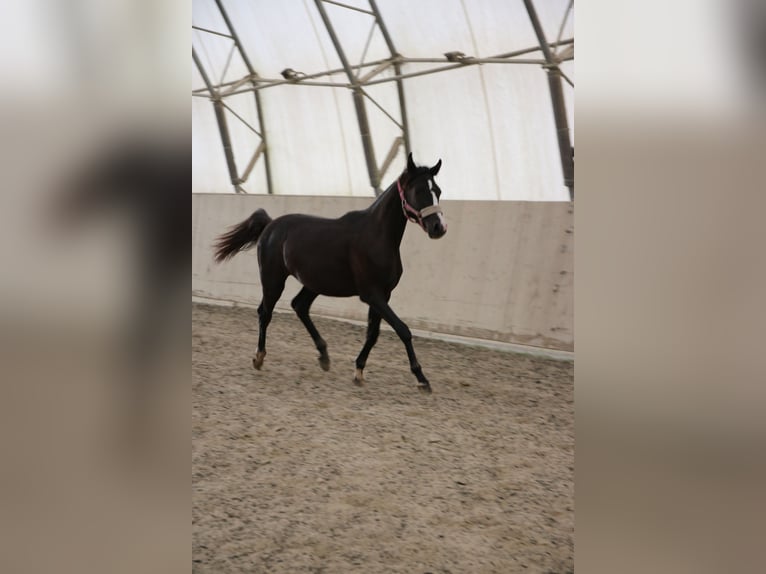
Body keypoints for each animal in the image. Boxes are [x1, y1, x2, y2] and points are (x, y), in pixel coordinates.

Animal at [213, 155, 448, 394]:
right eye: (418, 191)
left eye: (437, 190)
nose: (438, 227)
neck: (376, 236)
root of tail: (270, 225)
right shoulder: (372, 294)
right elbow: (403, 330)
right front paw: (421, 379)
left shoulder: (383, 295)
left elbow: (373, 334)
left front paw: (359, 371)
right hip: (273, 280)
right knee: (265, 312)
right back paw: (259, 357)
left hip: (313, 283)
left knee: (299, 306)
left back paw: (324, 356)